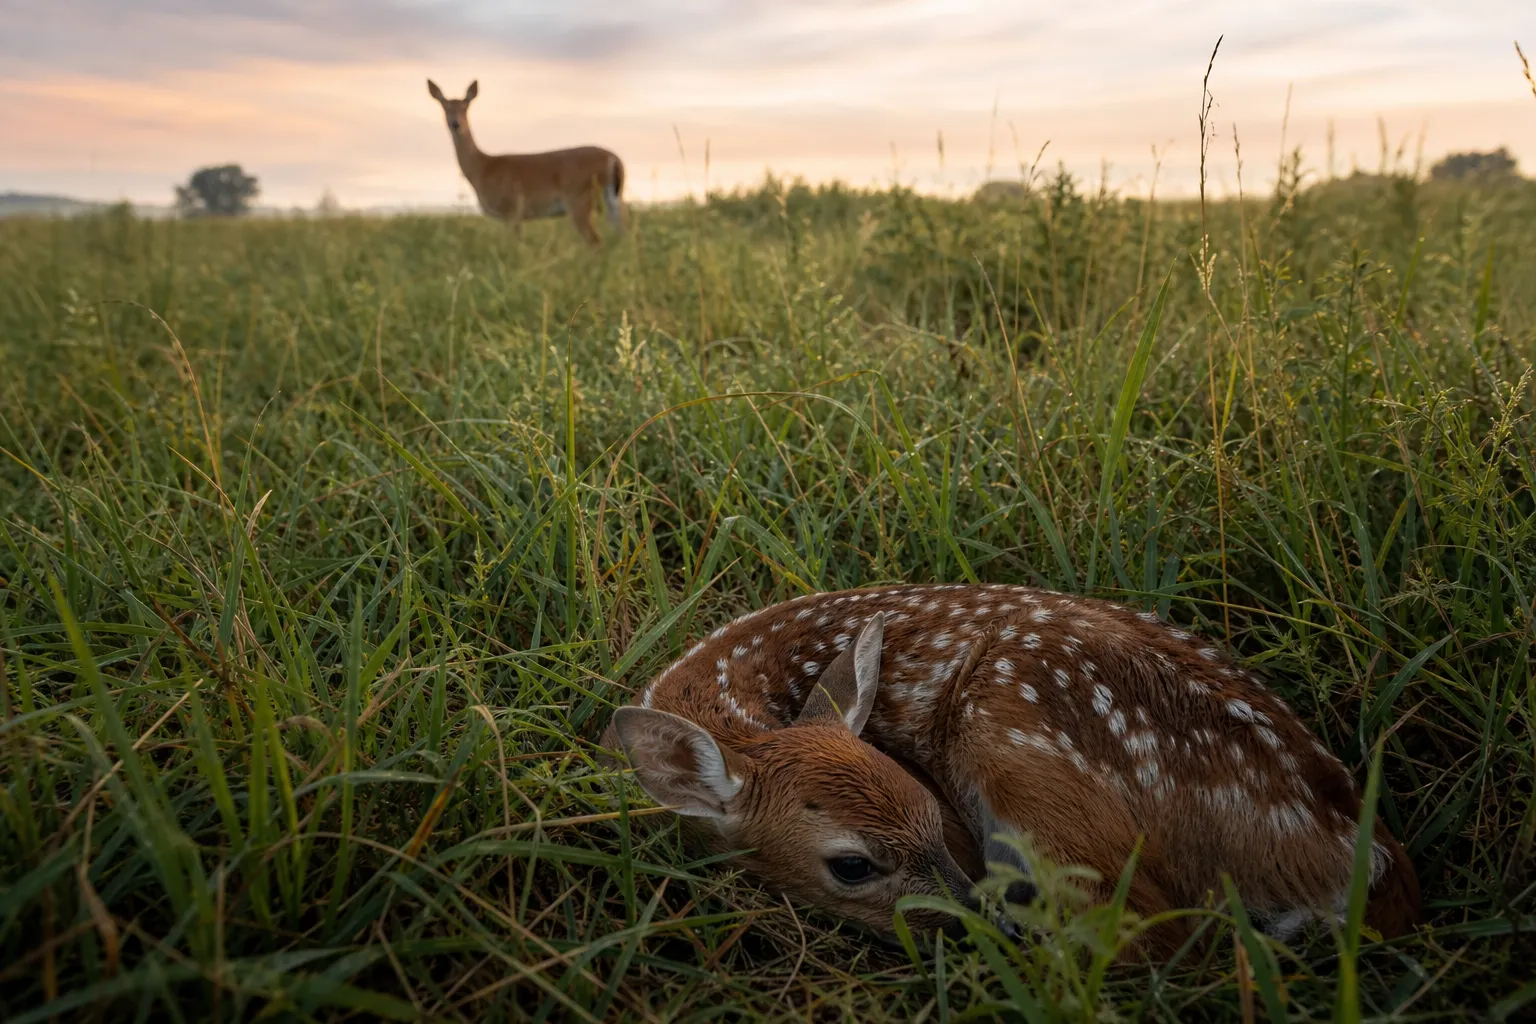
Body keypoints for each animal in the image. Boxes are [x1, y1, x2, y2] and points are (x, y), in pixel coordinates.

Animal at [427, 79, 625, 247]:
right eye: (444, 106)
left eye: (465, 106)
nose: (455, 124)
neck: (483, 168)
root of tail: (615, 159)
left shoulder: (512, 210)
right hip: (613, 198)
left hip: (580, 198)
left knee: (596, 241)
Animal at [604, 584, 1421, 958]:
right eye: (852, 866)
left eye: (936, 814)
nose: (971, 917)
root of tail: (1360, 853)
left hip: (1011, 741)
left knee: (1144, 930)